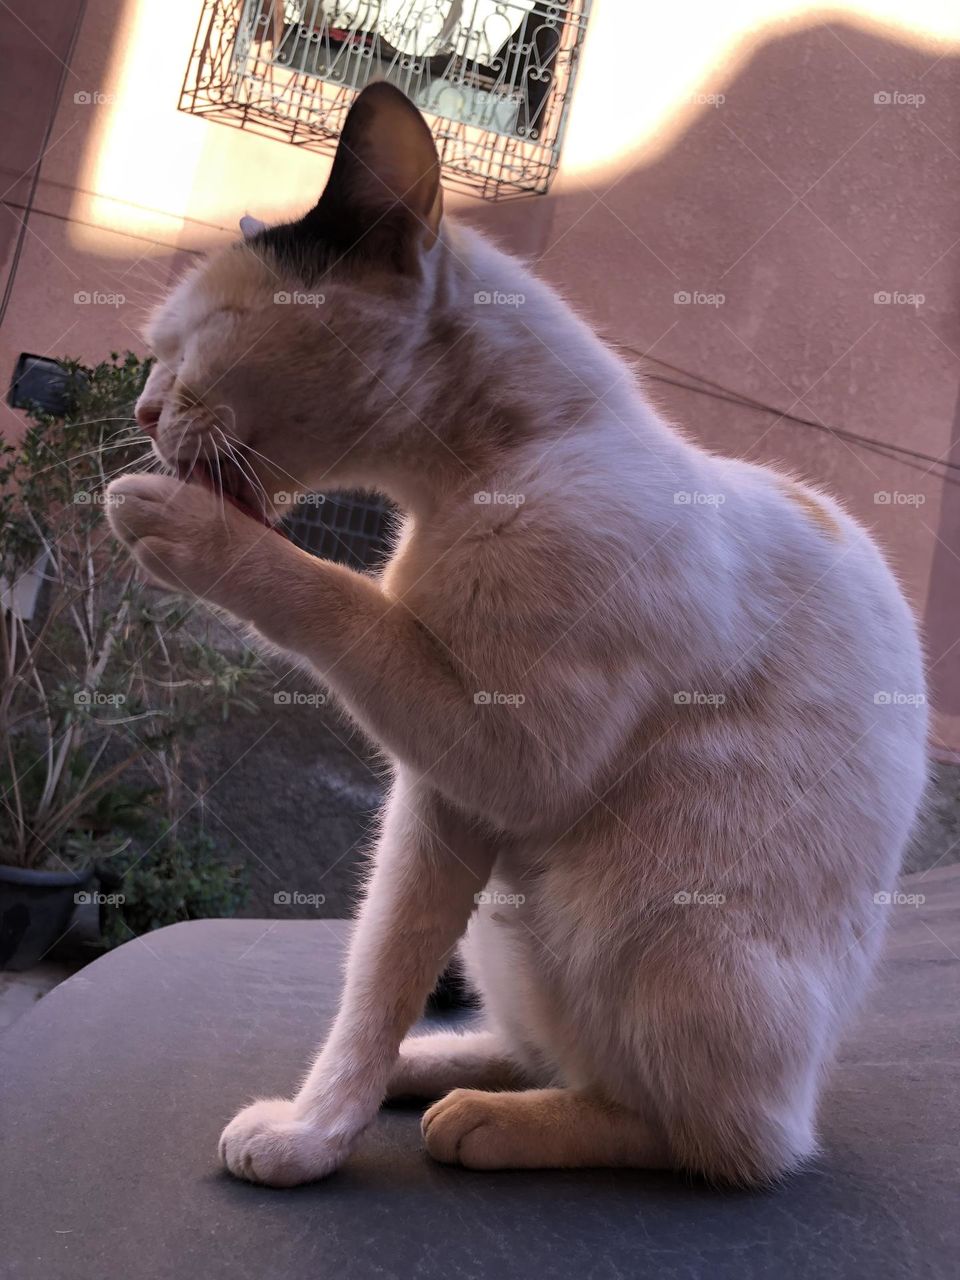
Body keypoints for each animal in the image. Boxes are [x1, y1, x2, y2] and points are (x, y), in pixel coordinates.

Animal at [106, 82, 931, 1187]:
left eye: (195, 337)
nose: (143, 408)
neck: (483, 473)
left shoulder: (513, 756)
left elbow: (339, 597)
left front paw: (171, 523)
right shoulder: (440, 800)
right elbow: (378, 977)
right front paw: (319, 1129)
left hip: (643, 914)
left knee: (716, 1136)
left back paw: (494, 1123)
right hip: (506, 922)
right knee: (553, 1049)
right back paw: (442, 1071)